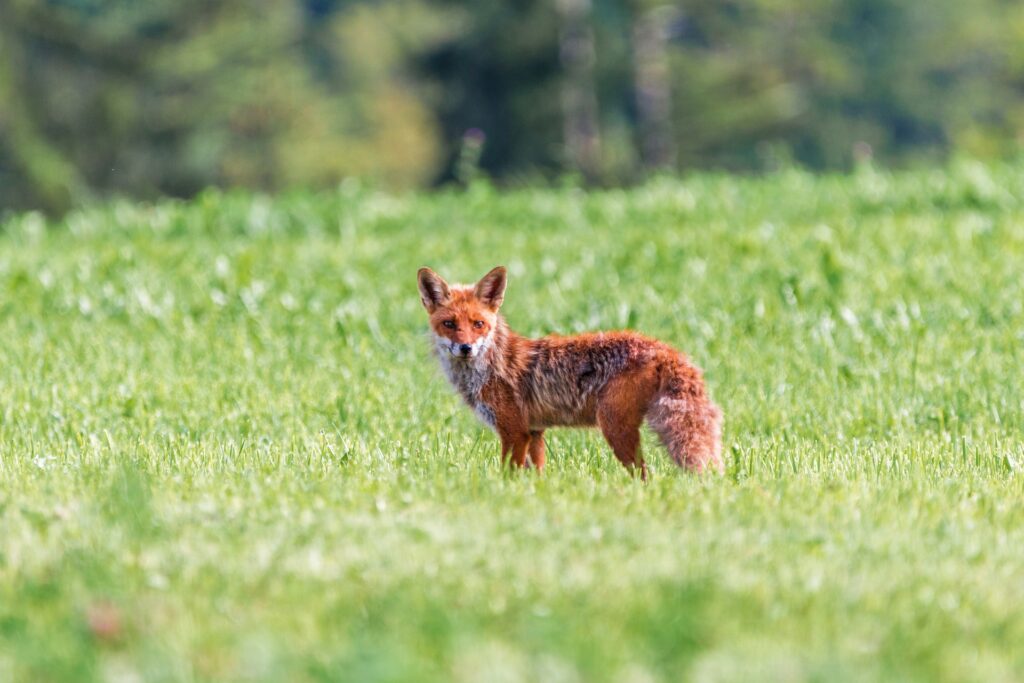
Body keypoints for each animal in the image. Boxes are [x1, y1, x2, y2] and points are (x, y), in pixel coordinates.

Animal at [418, 266, 723, 478]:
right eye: (449, 324)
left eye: (478, 324)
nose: (465, 348)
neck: (487, 367)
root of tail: (661, 347)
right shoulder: (534, 432)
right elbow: (536, 474)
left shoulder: (514, 431)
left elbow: (508, 474)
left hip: (614, 427)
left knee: (644, 475)